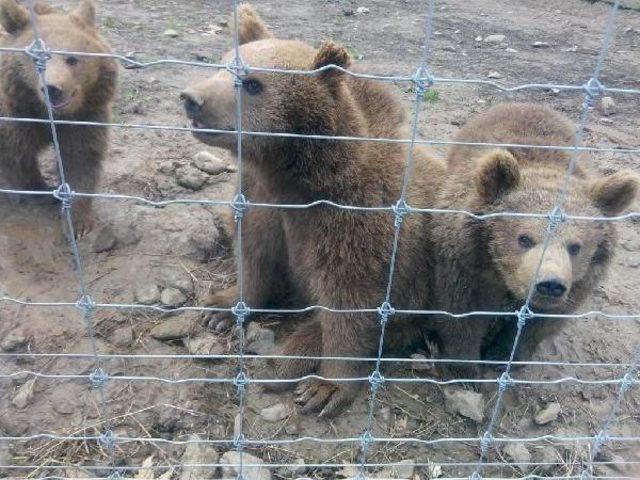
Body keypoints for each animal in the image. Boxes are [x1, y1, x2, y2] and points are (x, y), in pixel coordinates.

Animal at [0, 0, 117, 235]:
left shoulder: (84, 117)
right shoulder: (14, 116)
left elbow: (80, 159)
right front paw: (42, 192)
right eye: (35, 58)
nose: (52, 88)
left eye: (71, 59)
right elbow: (16, 158)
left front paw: (78, 222)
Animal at [181, 4, 444, 416]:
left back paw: (292, 356)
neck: (295, 176)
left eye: (253, 84)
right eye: (222, 66)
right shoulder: (261, 201)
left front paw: (325, 388)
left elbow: (350, 301)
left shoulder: (355, 218)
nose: (192, 98)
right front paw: (221, 306)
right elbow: (254, 254)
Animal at [428, 103, 636, 376]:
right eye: (524, 238)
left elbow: (539, 324)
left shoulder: (579, 282)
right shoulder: (467, 262)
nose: (550, 284)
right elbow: (464, 310)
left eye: (575, 247)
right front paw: (464, 365)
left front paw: (503, 356)